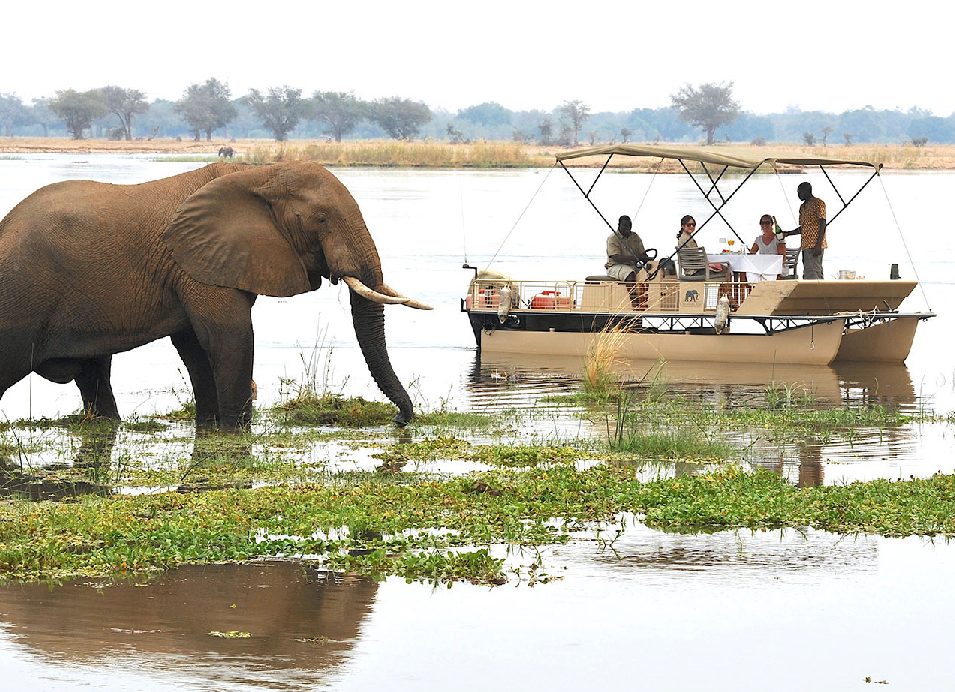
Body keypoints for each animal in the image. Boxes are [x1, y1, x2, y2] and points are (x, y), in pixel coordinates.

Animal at [0, 162, 431, 429]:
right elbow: (230, 337)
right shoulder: (196, 261)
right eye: (321, 219)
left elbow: (195, 345)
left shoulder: (201, 264)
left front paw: (211, 425)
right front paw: (235, 430)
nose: (399, 421)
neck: (258, 174)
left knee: (94, 373)